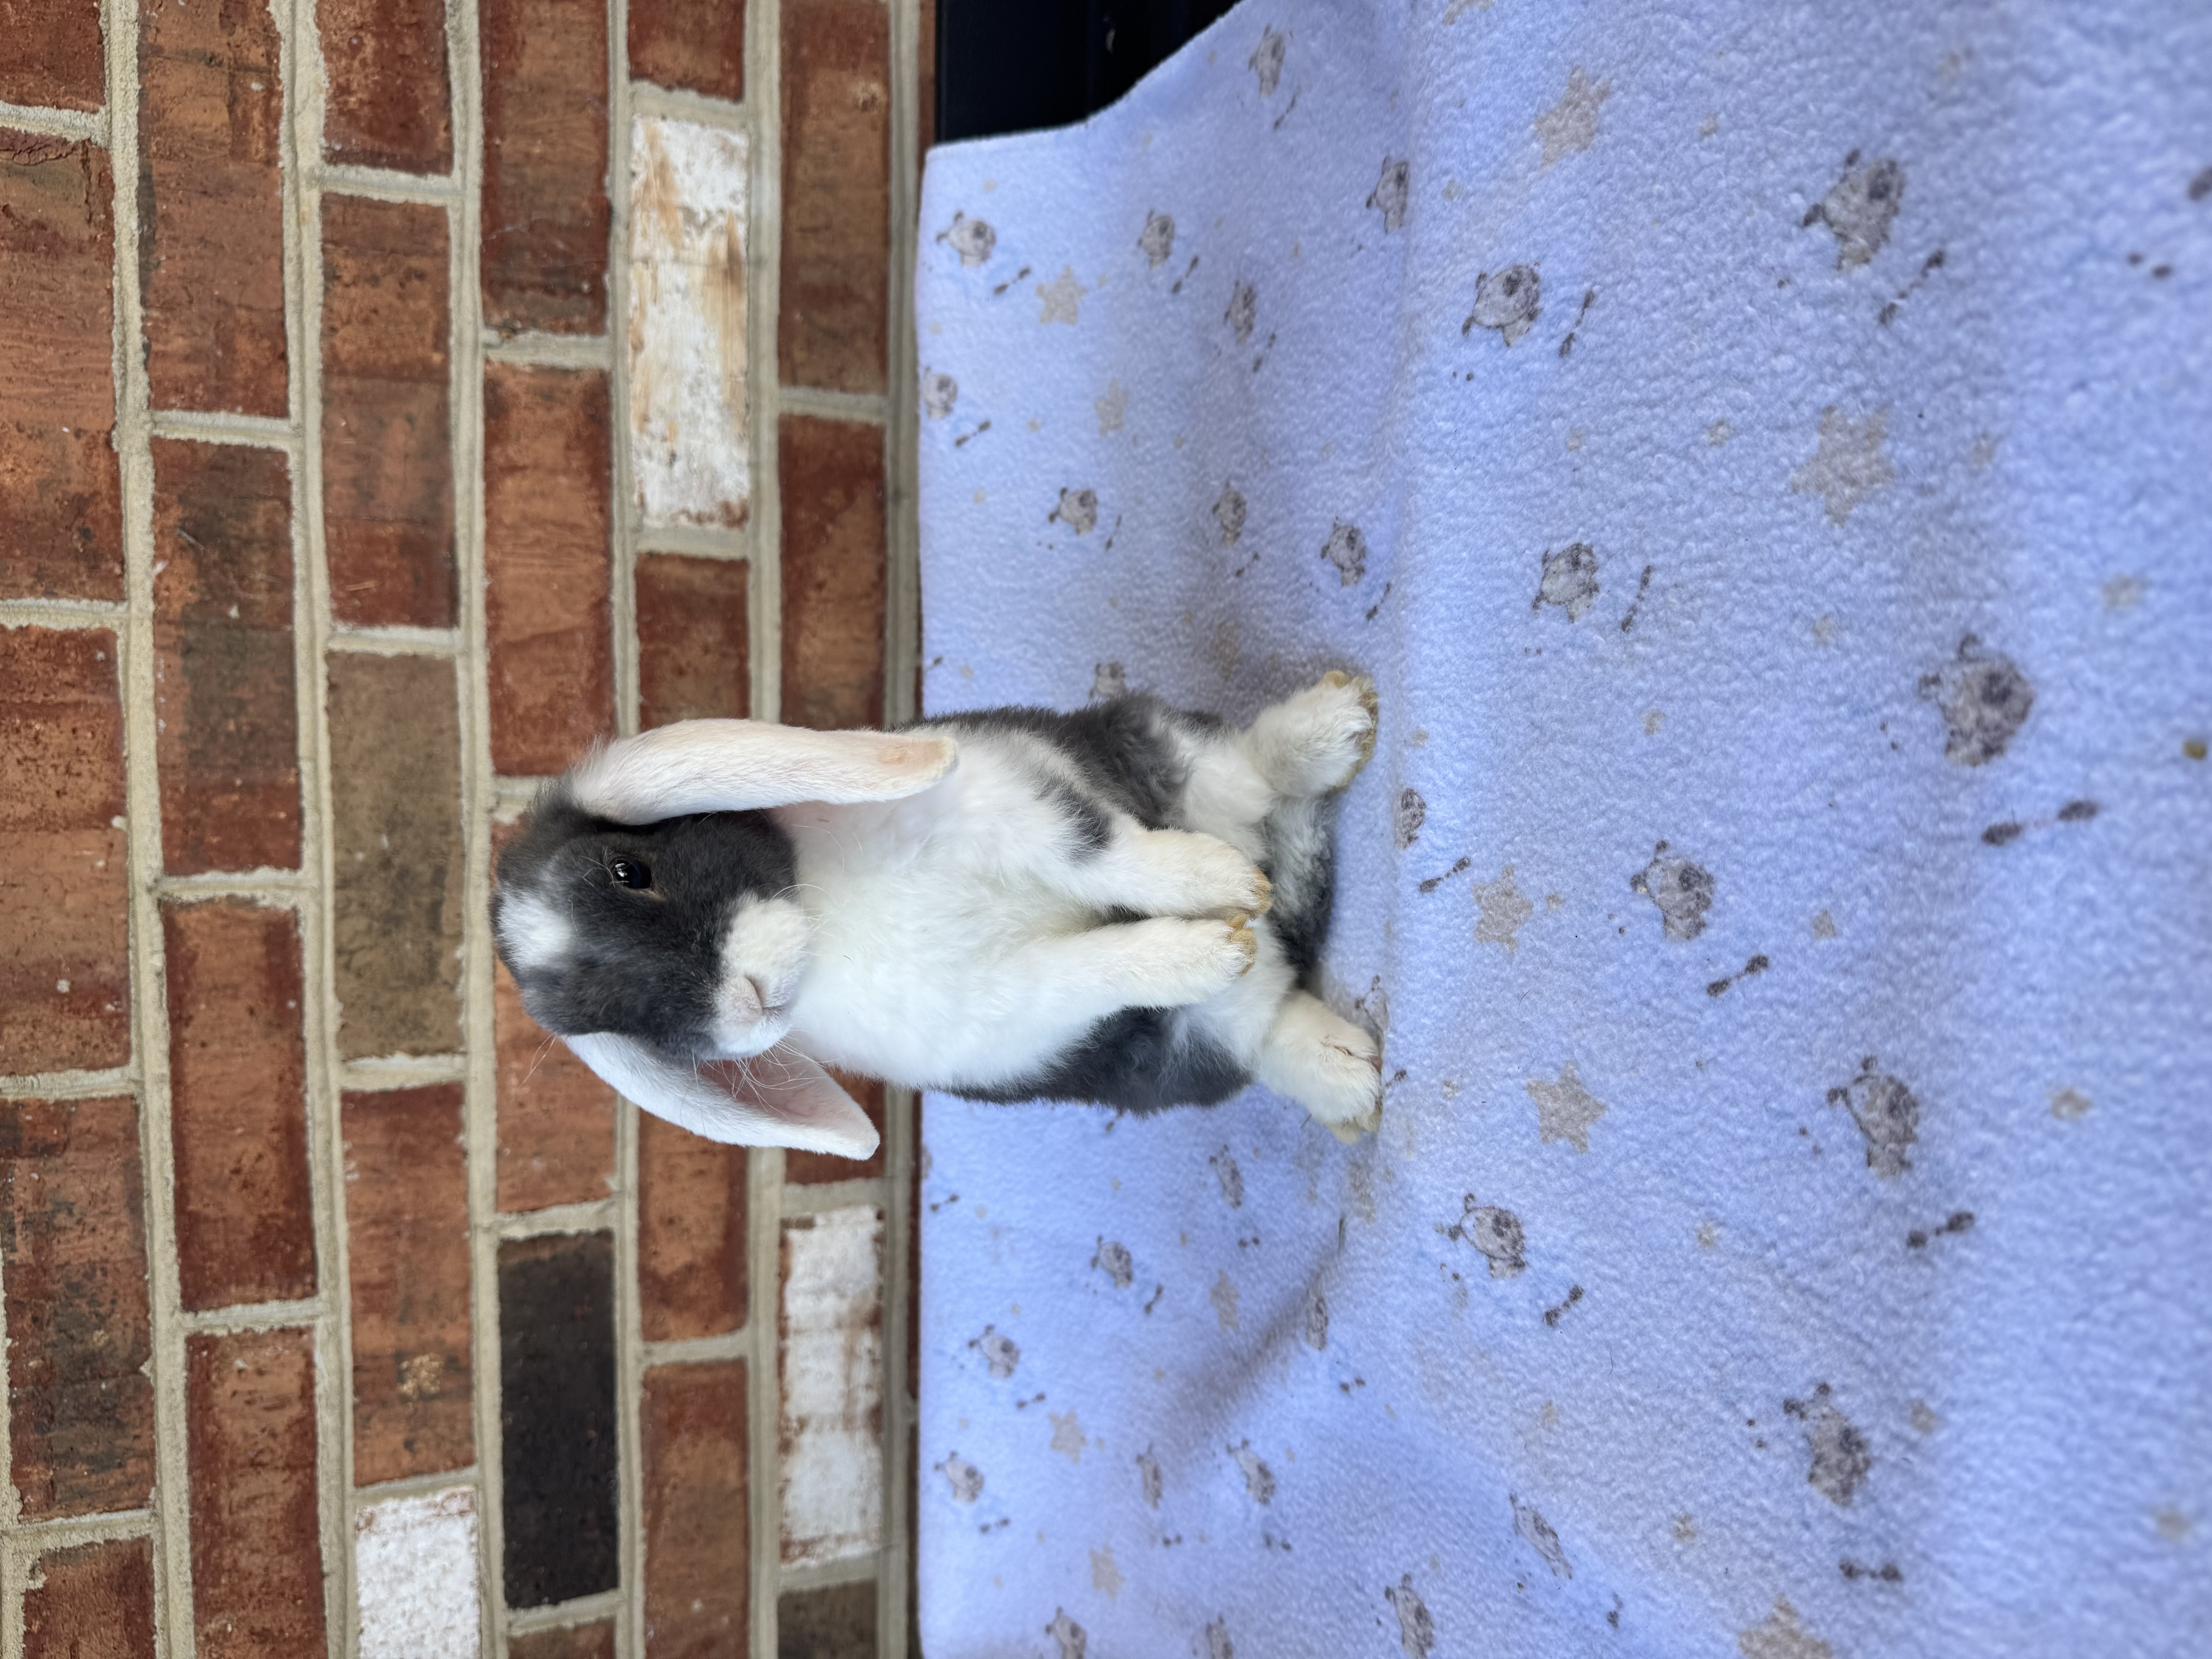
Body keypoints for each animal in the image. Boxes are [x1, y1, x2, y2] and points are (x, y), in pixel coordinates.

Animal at [492, 671, 1384, 1161]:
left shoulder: (1030, 809)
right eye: (616, 1018)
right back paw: (1350, 1077)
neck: (829, 925)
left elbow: (1112, 855)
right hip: (1190, 1040)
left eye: (629, 870)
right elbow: (1098, 967)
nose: (746, 1002)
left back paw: (1336, 728)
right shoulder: (1017, 1006)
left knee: (1252, 773)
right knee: (1264, 1024)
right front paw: (1205, 949)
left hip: (1166, 752)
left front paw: (1219, 882)